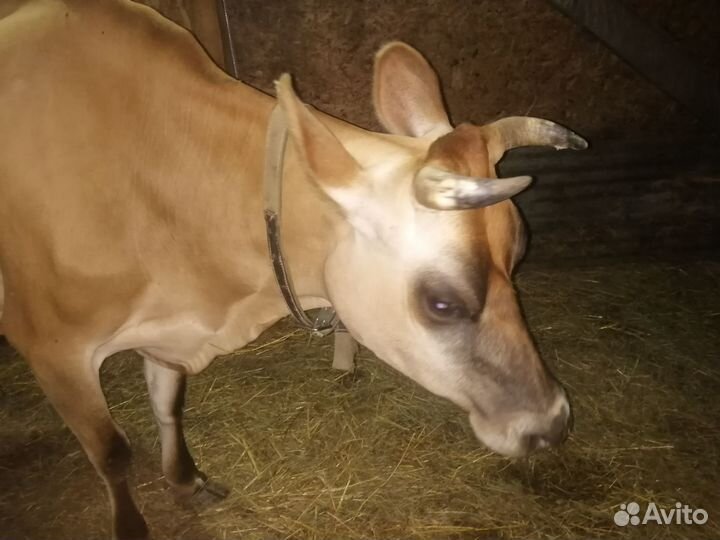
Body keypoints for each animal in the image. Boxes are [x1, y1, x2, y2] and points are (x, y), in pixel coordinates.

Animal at [0, 0, 586, 538]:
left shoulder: (166, 331)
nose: (553, 422)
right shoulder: (54, 351)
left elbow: (168, 404)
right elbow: (111, 452)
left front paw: (186, 481)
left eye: (519, 253)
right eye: (441, 303)